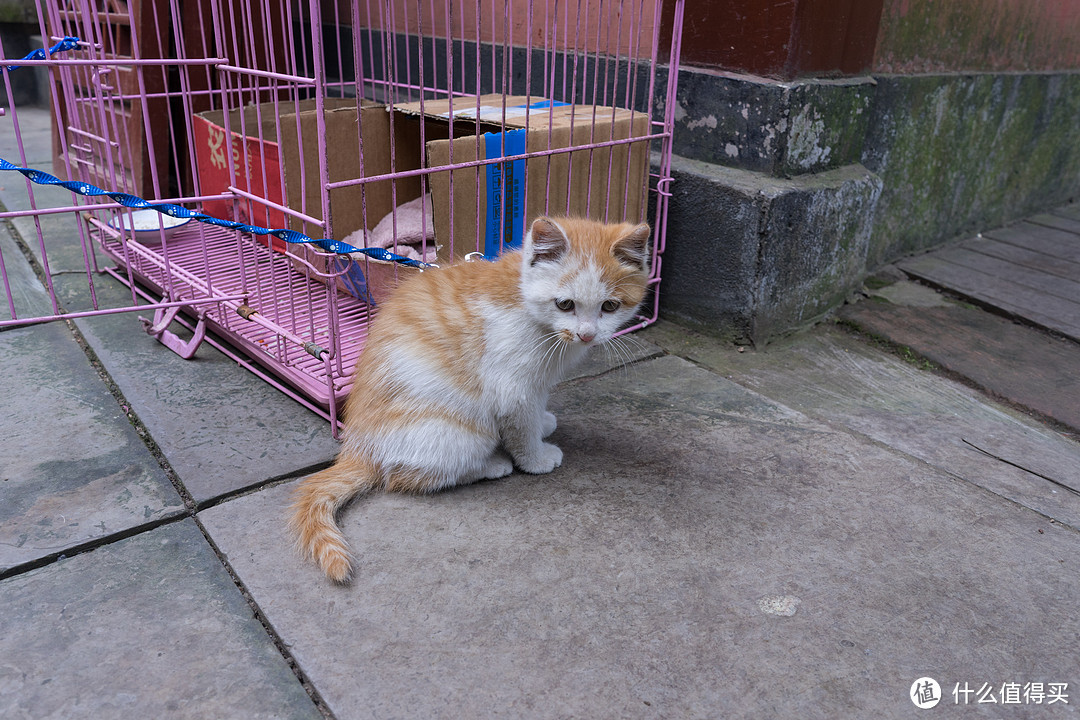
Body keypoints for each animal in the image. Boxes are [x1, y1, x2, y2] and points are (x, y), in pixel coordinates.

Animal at [287, 216, 652, 582]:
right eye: (565, 304)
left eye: (609, 306)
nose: (586, 335)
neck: (528, 307)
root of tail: (360, 450)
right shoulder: (511, 387)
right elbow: (522, 427)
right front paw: (535, 458)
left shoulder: (537, 380)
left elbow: (538, 406)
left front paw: (544, 422)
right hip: (456, 432)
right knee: (405, 477)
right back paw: (490, 465)